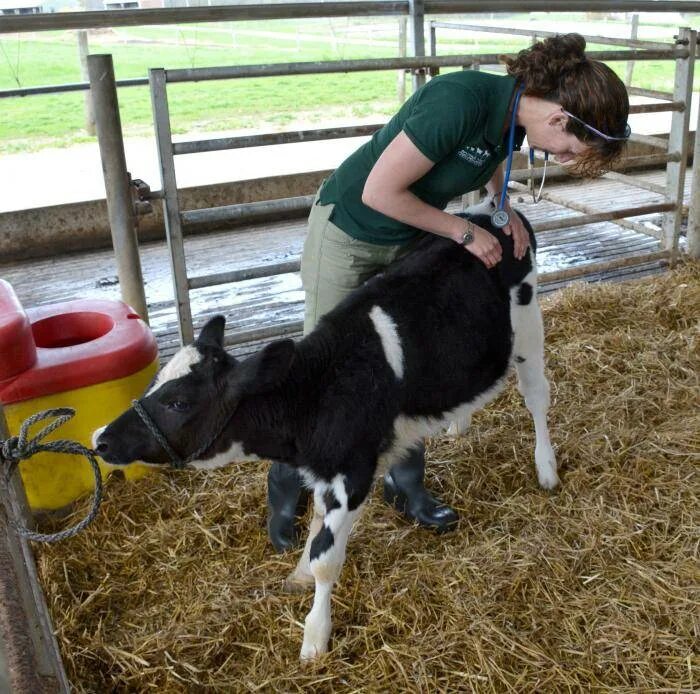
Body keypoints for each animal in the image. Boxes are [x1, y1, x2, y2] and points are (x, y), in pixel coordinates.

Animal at [93, 211, 556, 664]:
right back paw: (460, 426)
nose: (100, 438)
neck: (317, 393)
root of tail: (496, 214)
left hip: (529, 328)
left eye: (178, 402)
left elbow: (326, 560)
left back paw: (546, 468)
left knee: (536, 398)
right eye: (155, 382)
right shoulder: (323, 468)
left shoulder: (352, 475)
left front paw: (315, 636)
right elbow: (314, 527)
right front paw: (298, 573)